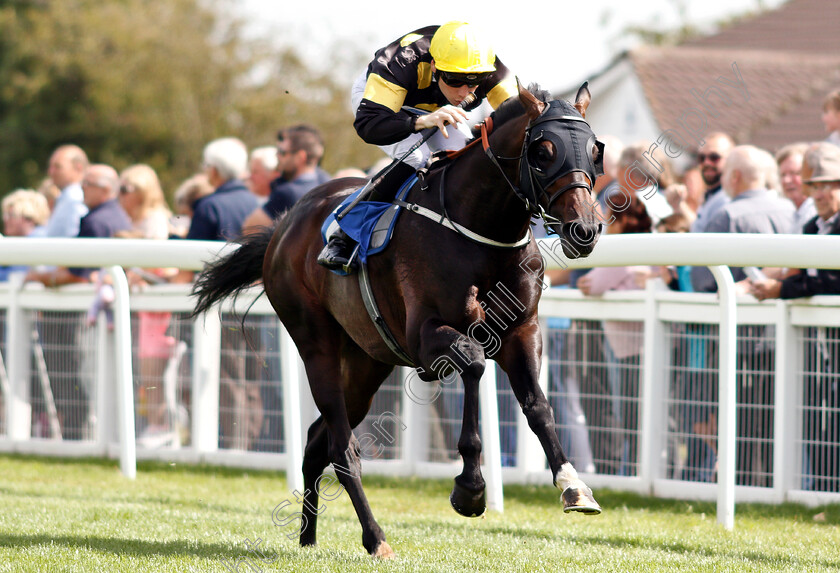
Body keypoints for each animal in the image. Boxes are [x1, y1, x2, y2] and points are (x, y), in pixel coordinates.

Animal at [193, 82, 604, 556]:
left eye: (595, 150)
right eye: (543, 150)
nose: (585, 229)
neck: (481, 228)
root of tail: (284, 225)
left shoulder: (524, 331)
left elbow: (538, 406)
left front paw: (574, 487)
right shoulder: (425, 336)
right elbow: (474, 361)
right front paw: (470, 489)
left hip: (366, 364)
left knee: (316, 443)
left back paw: (308, 538)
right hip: (316, 345)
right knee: (341, 448)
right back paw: (376, 538)